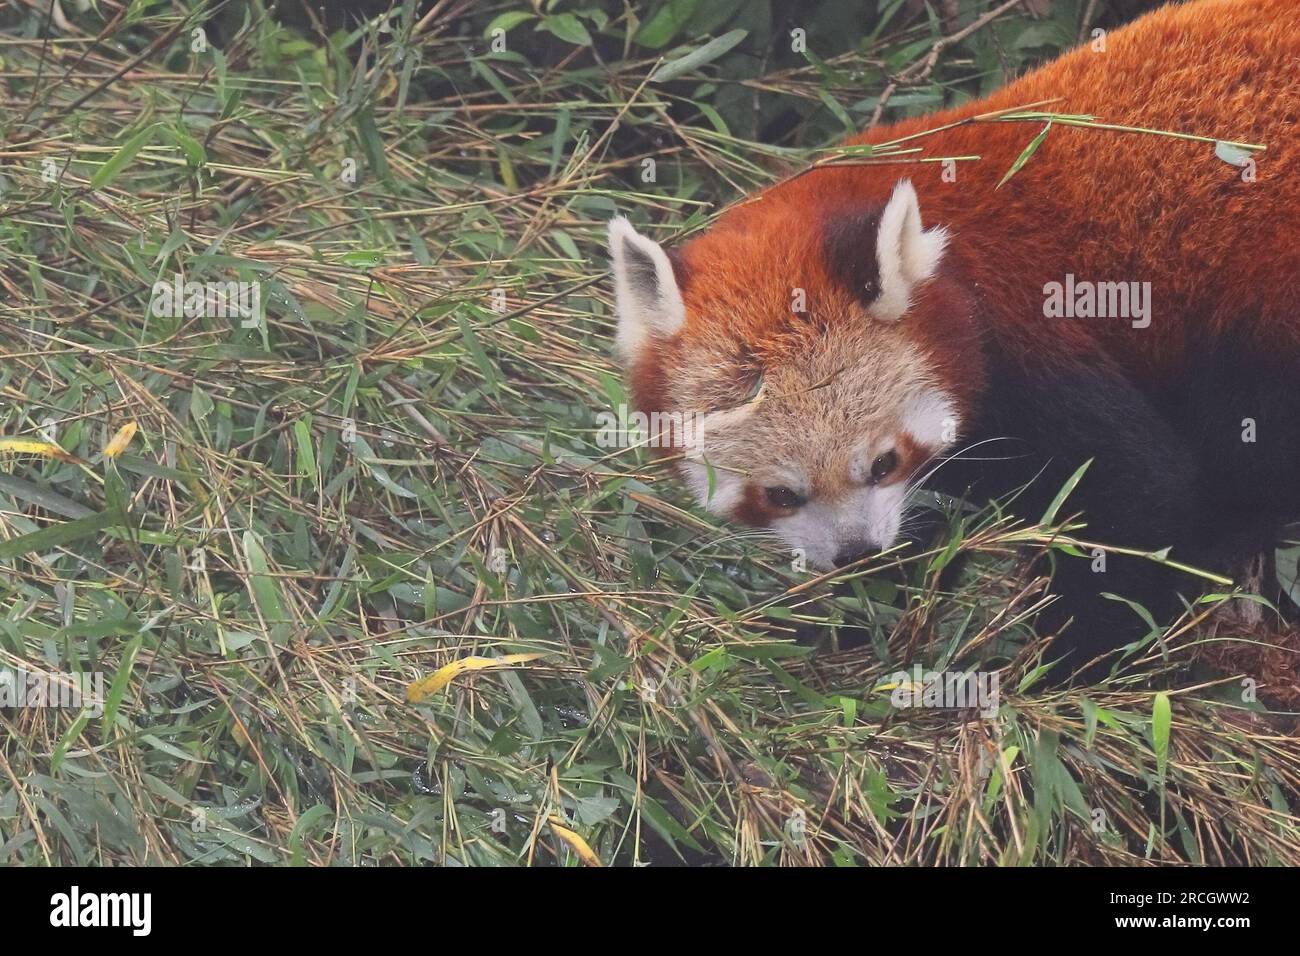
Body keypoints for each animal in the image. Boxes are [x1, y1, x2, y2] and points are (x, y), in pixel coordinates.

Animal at [605, 0, 1300, 665]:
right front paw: (851, 620)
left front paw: (1056, 669)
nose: (857, 551)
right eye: (778, 494)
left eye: (883, 461)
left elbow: (1140, 500)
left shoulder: (1031, 339)